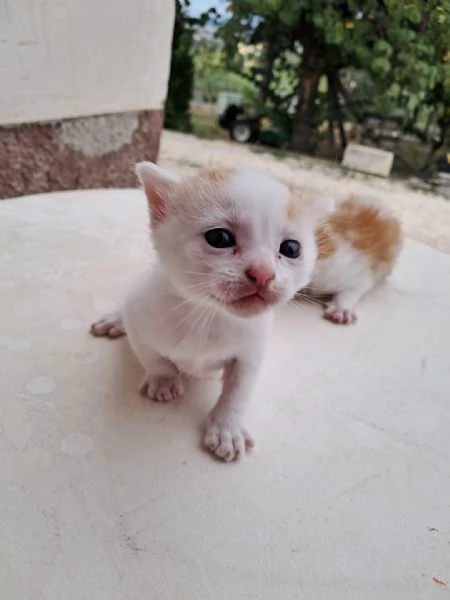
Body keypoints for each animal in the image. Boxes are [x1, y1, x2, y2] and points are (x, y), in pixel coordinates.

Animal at [90, 162, 334, 462]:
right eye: (219, 238)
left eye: (291, 248)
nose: (263, 273)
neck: (210, 317)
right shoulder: (140, 317)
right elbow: (151, 356)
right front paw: (163, 380)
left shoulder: (251, 353)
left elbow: (238, 392)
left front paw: (227, 428)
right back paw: (115, 320)